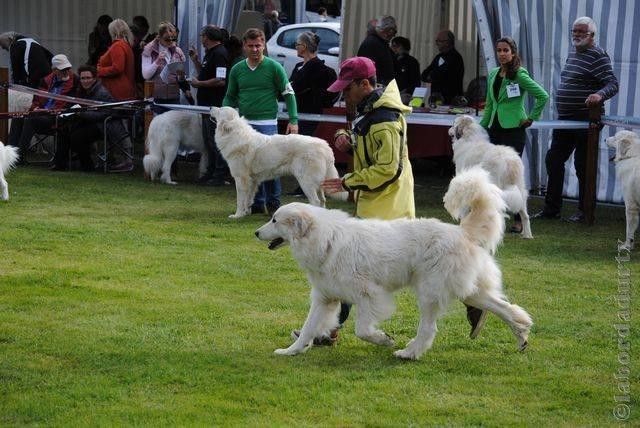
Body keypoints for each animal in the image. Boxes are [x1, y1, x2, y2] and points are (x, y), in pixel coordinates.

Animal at [212, 105, 348, 219]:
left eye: (219, 110)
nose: (211, 107)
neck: (235, 135)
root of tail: (324, 145)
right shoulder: (253, 181)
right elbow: (248, 199)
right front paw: (246, 213)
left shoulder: (241, 179)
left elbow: (240, 200)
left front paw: (237, 215)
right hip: (318, 182)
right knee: (323, 200)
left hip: (306, 181)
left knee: (316, 201)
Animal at [258, 169, 532, 360]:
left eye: (275, 220)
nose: (256, 232)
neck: (325, 240)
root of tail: (461, 231)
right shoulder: (324, 298)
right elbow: (308, 328)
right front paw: (291, 351)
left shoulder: (370, 295)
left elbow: (362, 330)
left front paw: (384, 339)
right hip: (468, 290)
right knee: (505, 308)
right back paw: (521, 335)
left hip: (430, 293)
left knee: (428, 329)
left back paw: (409, 353)